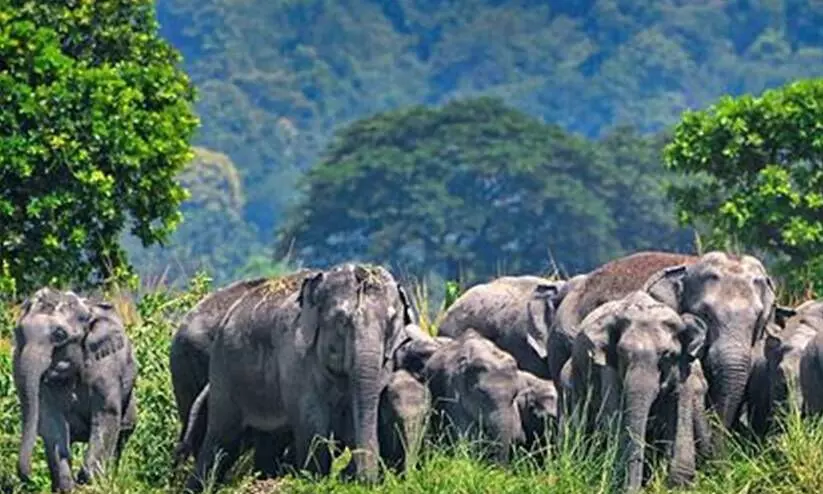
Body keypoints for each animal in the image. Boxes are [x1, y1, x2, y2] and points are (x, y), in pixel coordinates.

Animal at [12, 288, 138, 492]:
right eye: (17, 332)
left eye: (60, 334)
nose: (29, 479)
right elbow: (51, 421)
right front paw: (67, 487)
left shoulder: (106, 367)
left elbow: (106, 414)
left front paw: (88, 482)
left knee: (122, 434)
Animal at [189, 264, 416, 492]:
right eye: (341, 321)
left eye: (391, 322)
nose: (365, 482)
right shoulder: (296, 356)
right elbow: (312, 423)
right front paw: (316, 481)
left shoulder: (386, 361)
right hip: (224, 371)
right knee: (222, 439)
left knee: (268, 440)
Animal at [568, 292, 708, 492]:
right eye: (621, 353)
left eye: (667, 355)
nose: (633, 489)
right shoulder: (608, 368)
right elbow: (615, 415)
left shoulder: (684, 367)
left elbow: (679, 407)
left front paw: (678, 484)